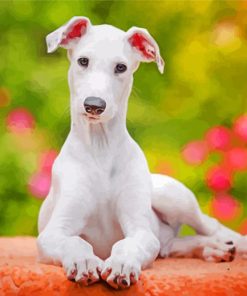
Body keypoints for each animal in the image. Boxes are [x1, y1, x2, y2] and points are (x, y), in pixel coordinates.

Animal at [37, 16, 247, 290]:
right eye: (83, 61)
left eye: (121, 67)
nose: (94, 105)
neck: (100, 147)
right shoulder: (52, 232)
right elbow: (75, 241)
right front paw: (83, 261)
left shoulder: (142, 230)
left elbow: (128, 244)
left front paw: (121, 265)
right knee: (175, 245)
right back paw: (214, 249)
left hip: (172, 196)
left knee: (211, 226)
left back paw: (231, 244)